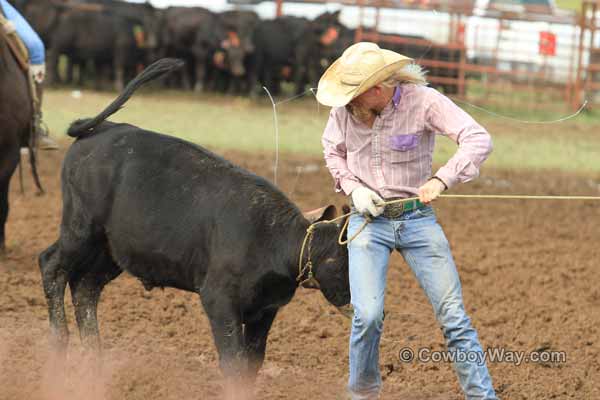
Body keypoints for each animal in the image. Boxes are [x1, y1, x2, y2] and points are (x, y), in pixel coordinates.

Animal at [38, 58, 352, 396]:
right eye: (344, 260)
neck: (273, 239)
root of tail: (102, 129)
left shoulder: (265, 311)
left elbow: (252, 363)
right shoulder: (218, 299)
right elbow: (233, 362)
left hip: (112, 250)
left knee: (85, 288)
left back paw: (94, 364)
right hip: (80, 228)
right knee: (52, 266)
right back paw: (59, 345)